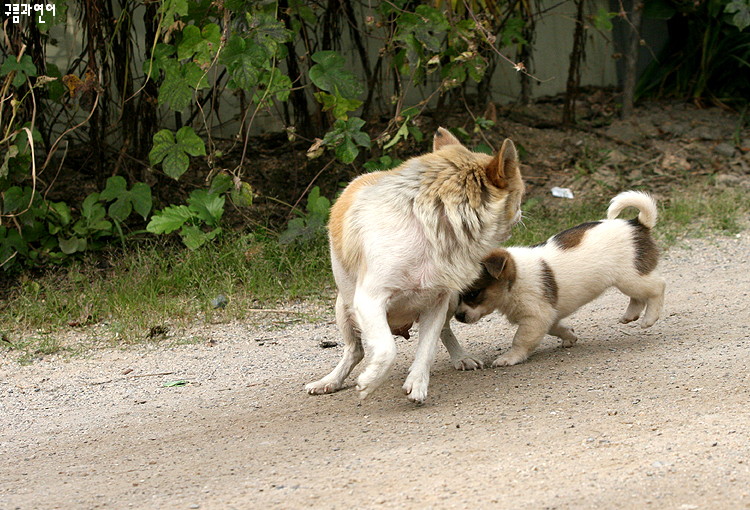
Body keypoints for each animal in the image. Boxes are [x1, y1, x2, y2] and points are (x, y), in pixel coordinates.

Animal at [304, 127, 524, 402]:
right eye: (519, 195)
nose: (521, 213)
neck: (432, 229)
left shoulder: (436, 303)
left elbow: (427, 349)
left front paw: (417, 383)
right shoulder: (369, 301)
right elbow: (387, 350)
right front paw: (370, 382)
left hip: (450, 301)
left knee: (444, 331)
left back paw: (461, 357)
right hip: (344, 308)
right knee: (355, 350)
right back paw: (331, 381)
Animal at [456, 191, 668, 366]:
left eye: (473, 293)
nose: (458, 317)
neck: (516, 278)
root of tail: (638, 223)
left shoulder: (536, 318)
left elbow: (520, 340)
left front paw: (509, 357)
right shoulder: (548, 317)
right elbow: (555, 329)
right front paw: (569, 336)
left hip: (630, 277)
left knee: (658, 287)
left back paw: (649, 318)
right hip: (630, 279)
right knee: (639, 297)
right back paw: (630, 315)